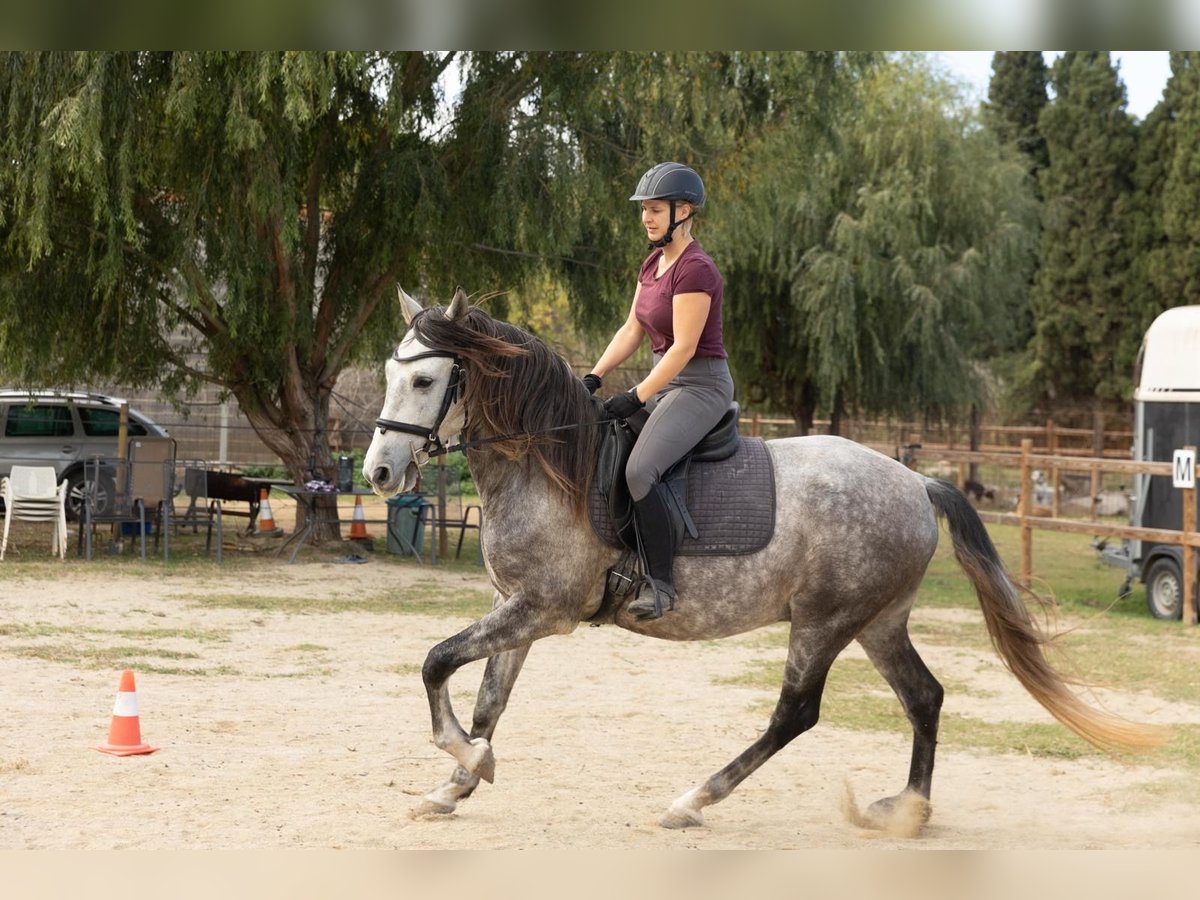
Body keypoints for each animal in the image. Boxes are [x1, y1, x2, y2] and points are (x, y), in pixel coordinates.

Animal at [363, 286, 1160, 835]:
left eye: (426, 382)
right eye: (389, 375)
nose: (377, 474)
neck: (546, 463)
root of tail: (915, 482)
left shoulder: (542, 610)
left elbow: (436, 663)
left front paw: (468, 762)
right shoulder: (518, 608)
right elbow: (488, 700)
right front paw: (456, 782)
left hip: (824, 621)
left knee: (795, 714)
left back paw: (693, 800)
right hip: (878, 621)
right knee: (925, 697)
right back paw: (906, 810)